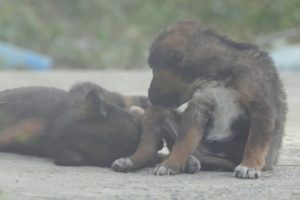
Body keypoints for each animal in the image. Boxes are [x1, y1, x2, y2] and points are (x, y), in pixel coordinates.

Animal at [112, 21, 286, 179]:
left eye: (155, 68)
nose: (150, 97)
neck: (216, 76)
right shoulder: (199, 107)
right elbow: (183, 141)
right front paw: (172, 163)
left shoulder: (261, 108)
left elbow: (255, 142)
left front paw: (249, 166)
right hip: (150, 112)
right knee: (150, 146)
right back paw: (132, 161)